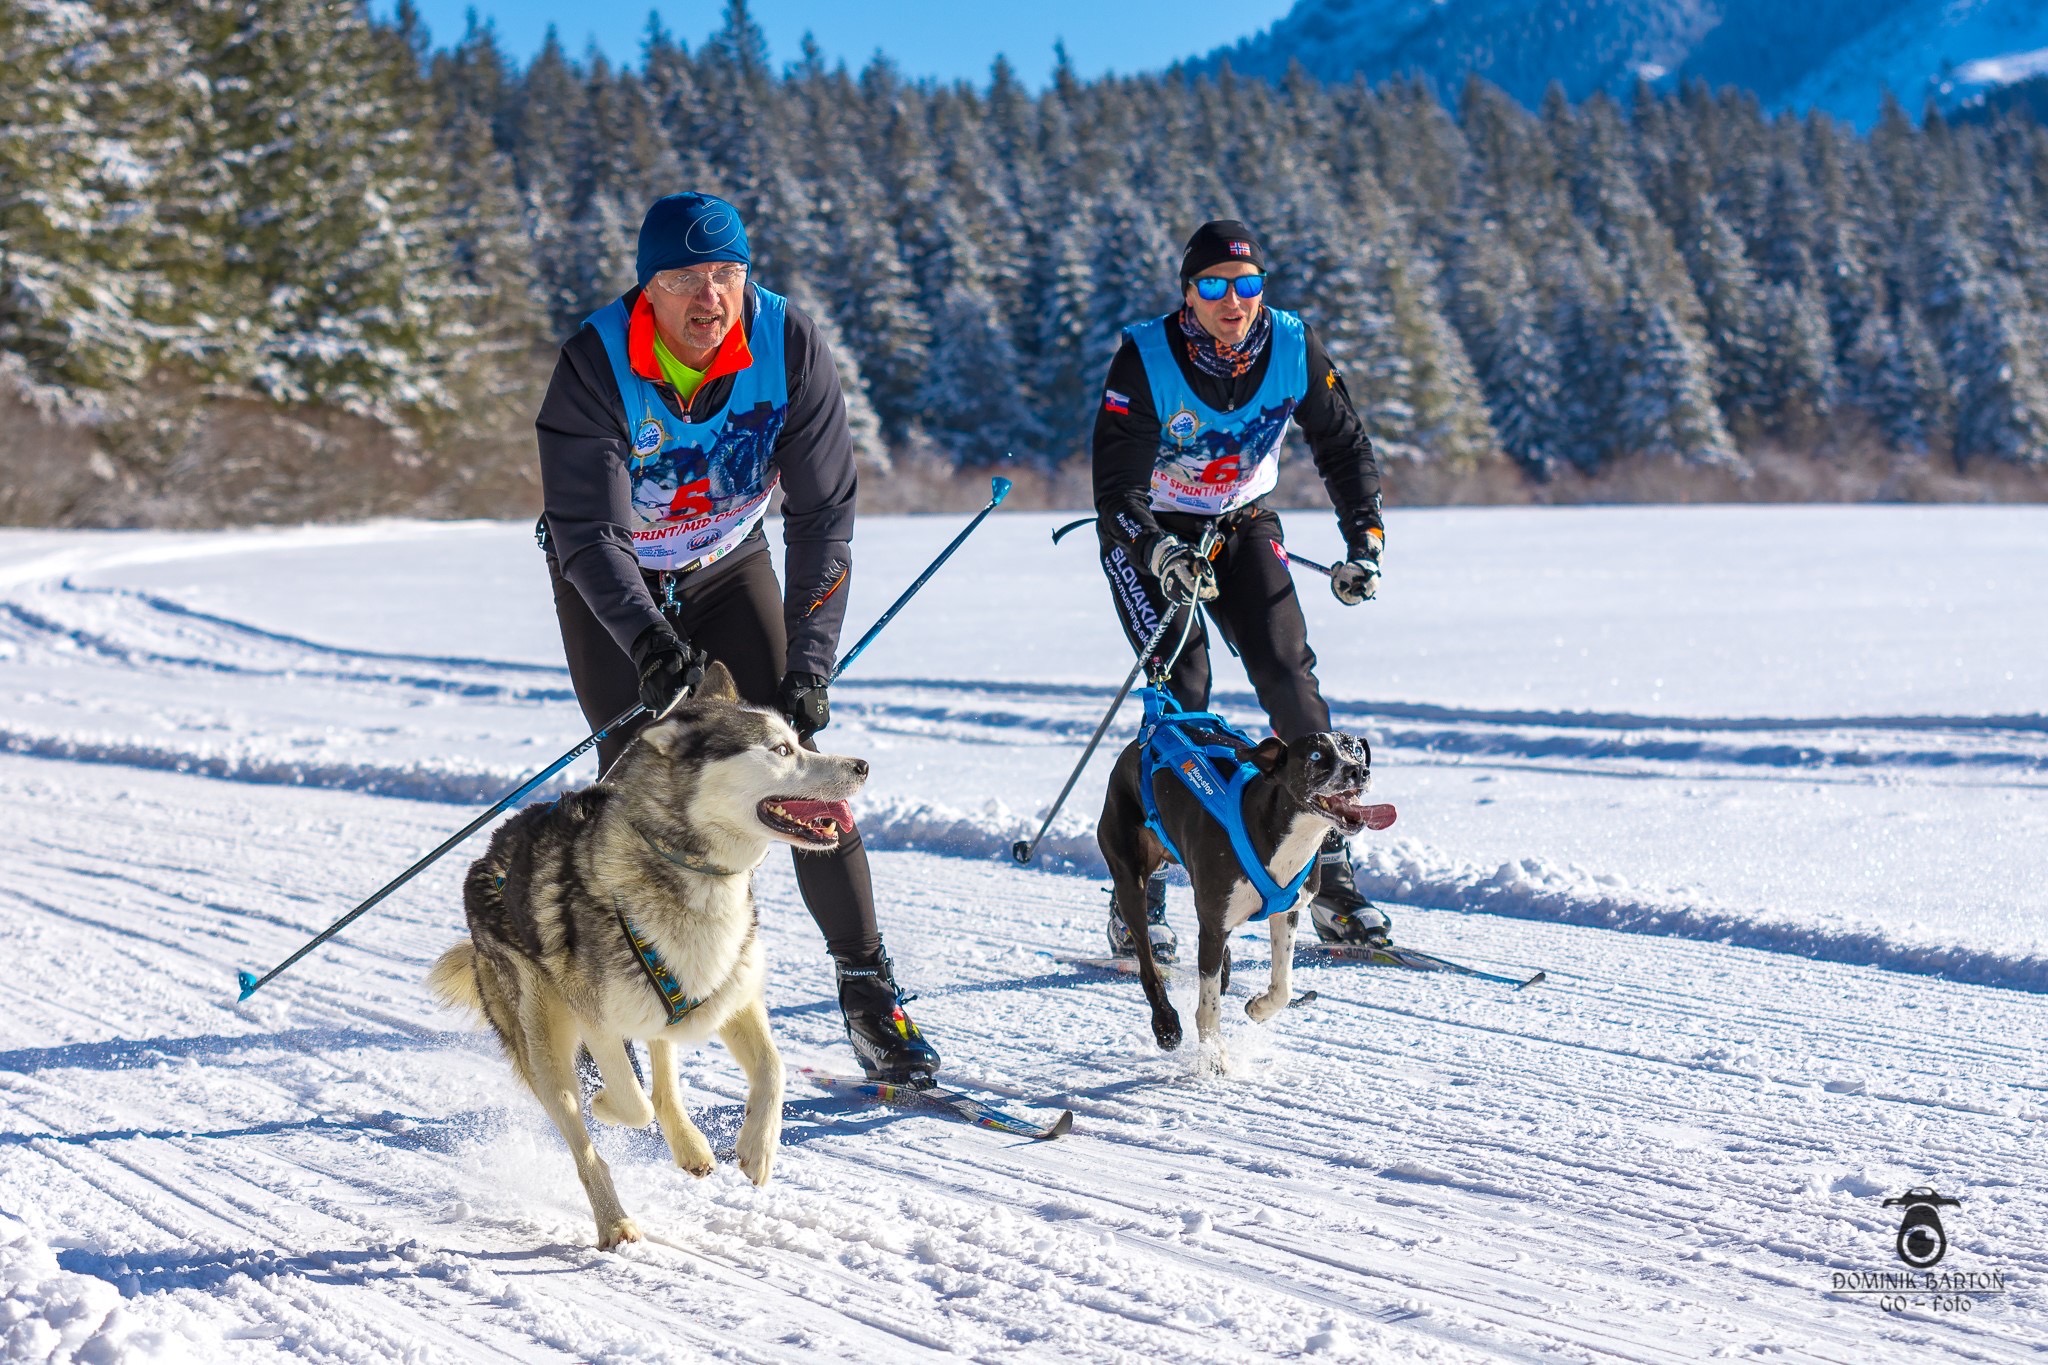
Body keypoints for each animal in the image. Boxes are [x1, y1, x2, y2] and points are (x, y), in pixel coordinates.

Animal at [432, 663, 864, 1252]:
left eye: (800, 740)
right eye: (779, 749)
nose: (862, 765)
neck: (691, 873)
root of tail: (486, 859)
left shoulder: (733, 996)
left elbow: (772, 1069)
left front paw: (757, 1149)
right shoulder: (597, 1021)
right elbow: (631, 1102)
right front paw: (606, 1108)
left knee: (663, 1071)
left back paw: (689, 1145)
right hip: (545, 1045)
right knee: (588, 1135)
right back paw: (613, 1221)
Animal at [1097, 724, 1384, 1064]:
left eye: (1356, 750)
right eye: (1315, 755)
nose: (1359, 770)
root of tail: (1147, 733)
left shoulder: (1286, 912)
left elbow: (1283, 986)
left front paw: (1259, 1007)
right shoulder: (1212, 923)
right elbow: (1207, 1005)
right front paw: (1214, 1054)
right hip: (1131, 878)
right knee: (1146, 958)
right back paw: (1165, 1023)